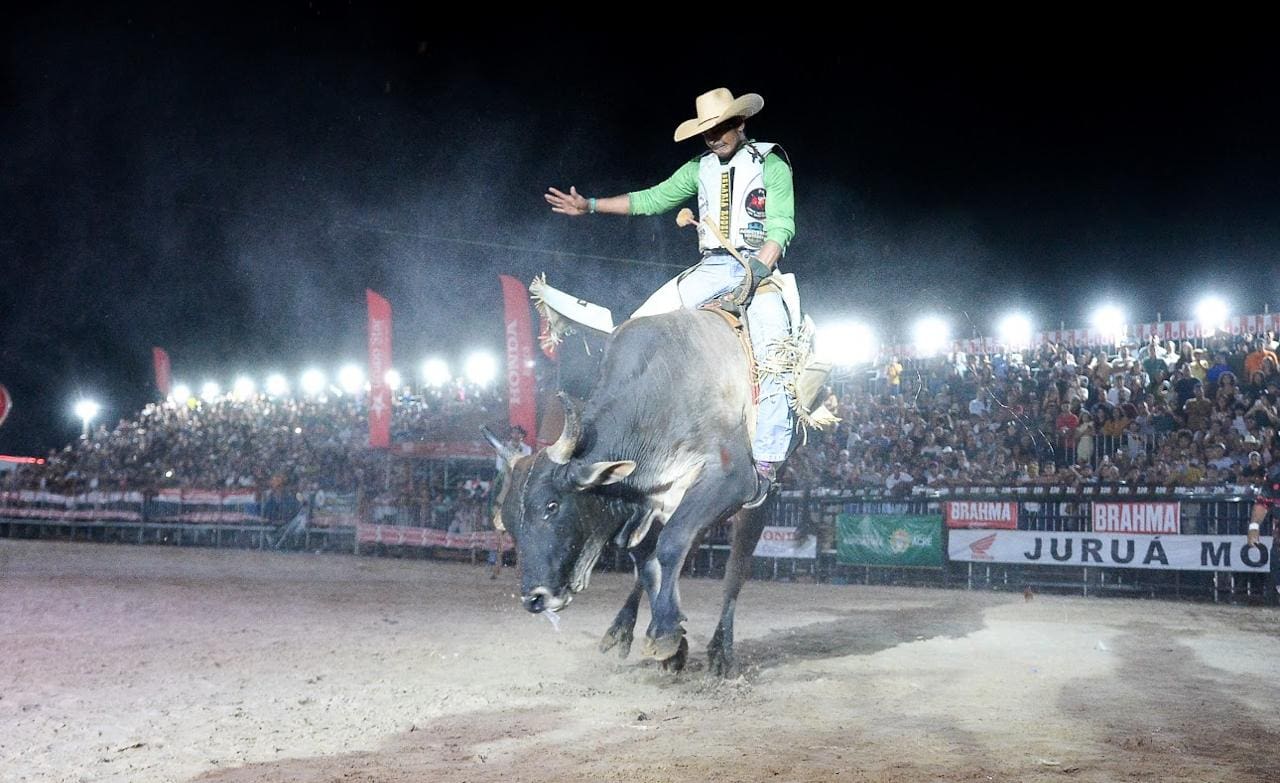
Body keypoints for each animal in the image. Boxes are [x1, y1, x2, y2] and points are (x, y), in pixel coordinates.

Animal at [488, 306, 783, 675]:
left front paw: (666, 633)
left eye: (552, 506)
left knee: (735, 567)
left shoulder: (732, 479)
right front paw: (670, 641)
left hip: (752, 504)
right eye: (509, 523)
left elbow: (672, 545)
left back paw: (720, 651)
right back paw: (623, 629)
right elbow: (649, 561)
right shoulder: (645, 509)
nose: (534, 599)